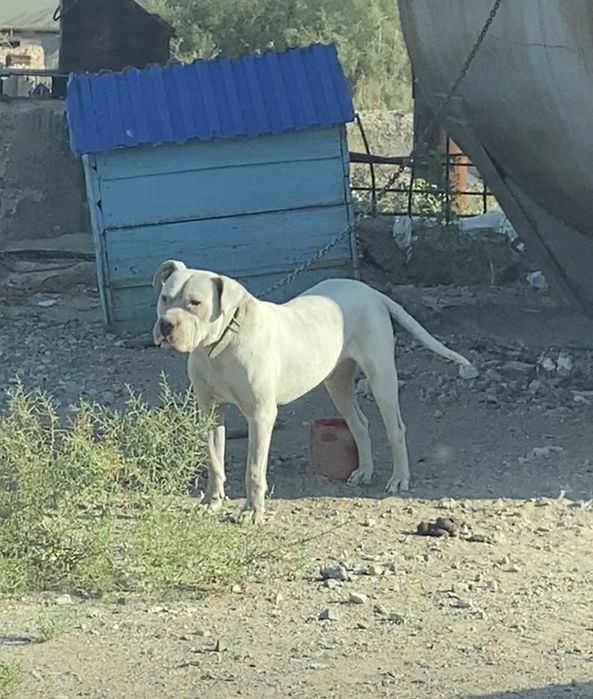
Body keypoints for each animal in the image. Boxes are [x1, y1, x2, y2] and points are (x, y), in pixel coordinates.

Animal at [152, 260, 474, 523]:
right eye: (164, 298)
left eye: (195, 302)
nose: (165, 325)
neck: (219, 345)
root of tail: (370, 291)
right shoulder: (210, 411)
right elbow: (214, 460)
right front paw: (212, 502)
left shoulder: (261, 416)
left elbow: (254, 470)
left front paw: (252, 512)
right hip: (338, 383)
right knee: (359, 423)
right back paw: (364, 470)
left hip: (382, 379)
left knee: (395, 428)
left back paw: (399, 478)